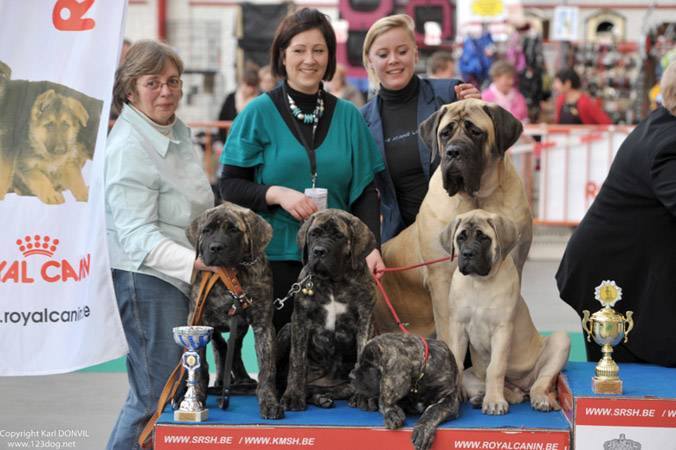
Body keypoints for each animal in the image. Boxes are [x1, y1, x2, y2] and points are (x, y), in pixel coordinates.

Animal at [278, 209, 378, 410]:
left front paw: (364, 397)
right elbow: (297, 360)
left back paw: (324, 397)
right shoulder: (300, 319)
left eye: (338, 236)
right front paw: (292, 396)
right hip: (286, 330)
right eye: (313, 234)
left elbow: (363, 353)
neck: (333, 282)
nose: (319, 251)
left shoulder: (366, 318)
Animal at [440, 210, 568, 414]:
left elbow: (496, 367)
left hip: (560, 341)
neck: (479, 283)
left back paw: (538, 398)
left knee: (539, 384)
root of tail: (521, 385)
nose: (467, 254)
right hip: (474, 374)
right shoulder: (457, 327)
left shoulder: (502, 329)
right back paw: (482, 397)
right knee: (513, 394)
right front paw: (456, 393)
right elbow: (458, 364)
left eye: (483, 237)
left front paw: (494, 401)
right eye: (460, 237)